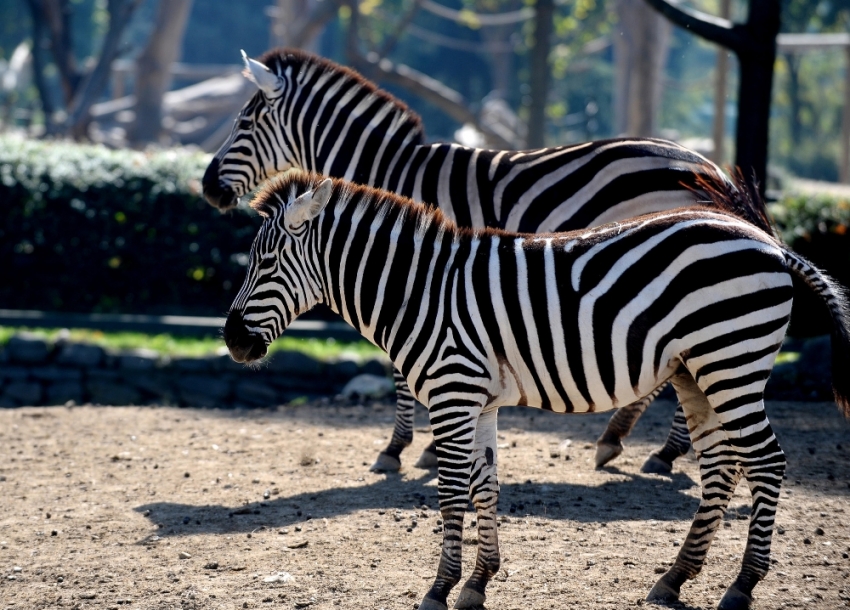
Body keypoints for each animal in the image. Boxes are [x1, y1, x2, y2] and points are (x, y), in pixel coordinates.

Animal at [202, 48, 772, 476]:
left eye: (244, 120)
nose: (207, 188)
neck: (391, 173)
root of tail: (705, 164)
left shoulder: (415, 283)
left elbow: (400, 370)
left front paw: (400, 449)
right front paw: (428, 448)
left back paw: (658, 450)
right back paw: (635, 443)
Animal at [222, 170, 848, 608]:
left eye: (267, 260)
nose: (231, 342)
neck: (421, 291)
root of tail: (768, 241)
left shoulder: (452, 393)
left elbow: (452, 492)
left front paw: (439, 589)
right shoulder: (478, 401)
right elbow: (486, 487)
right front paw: (478, 583)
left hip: (731, 362)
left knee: (766, 462)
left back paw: (741, 587)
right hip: (697, 374)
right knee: (721, 467)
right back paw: (674, 579)